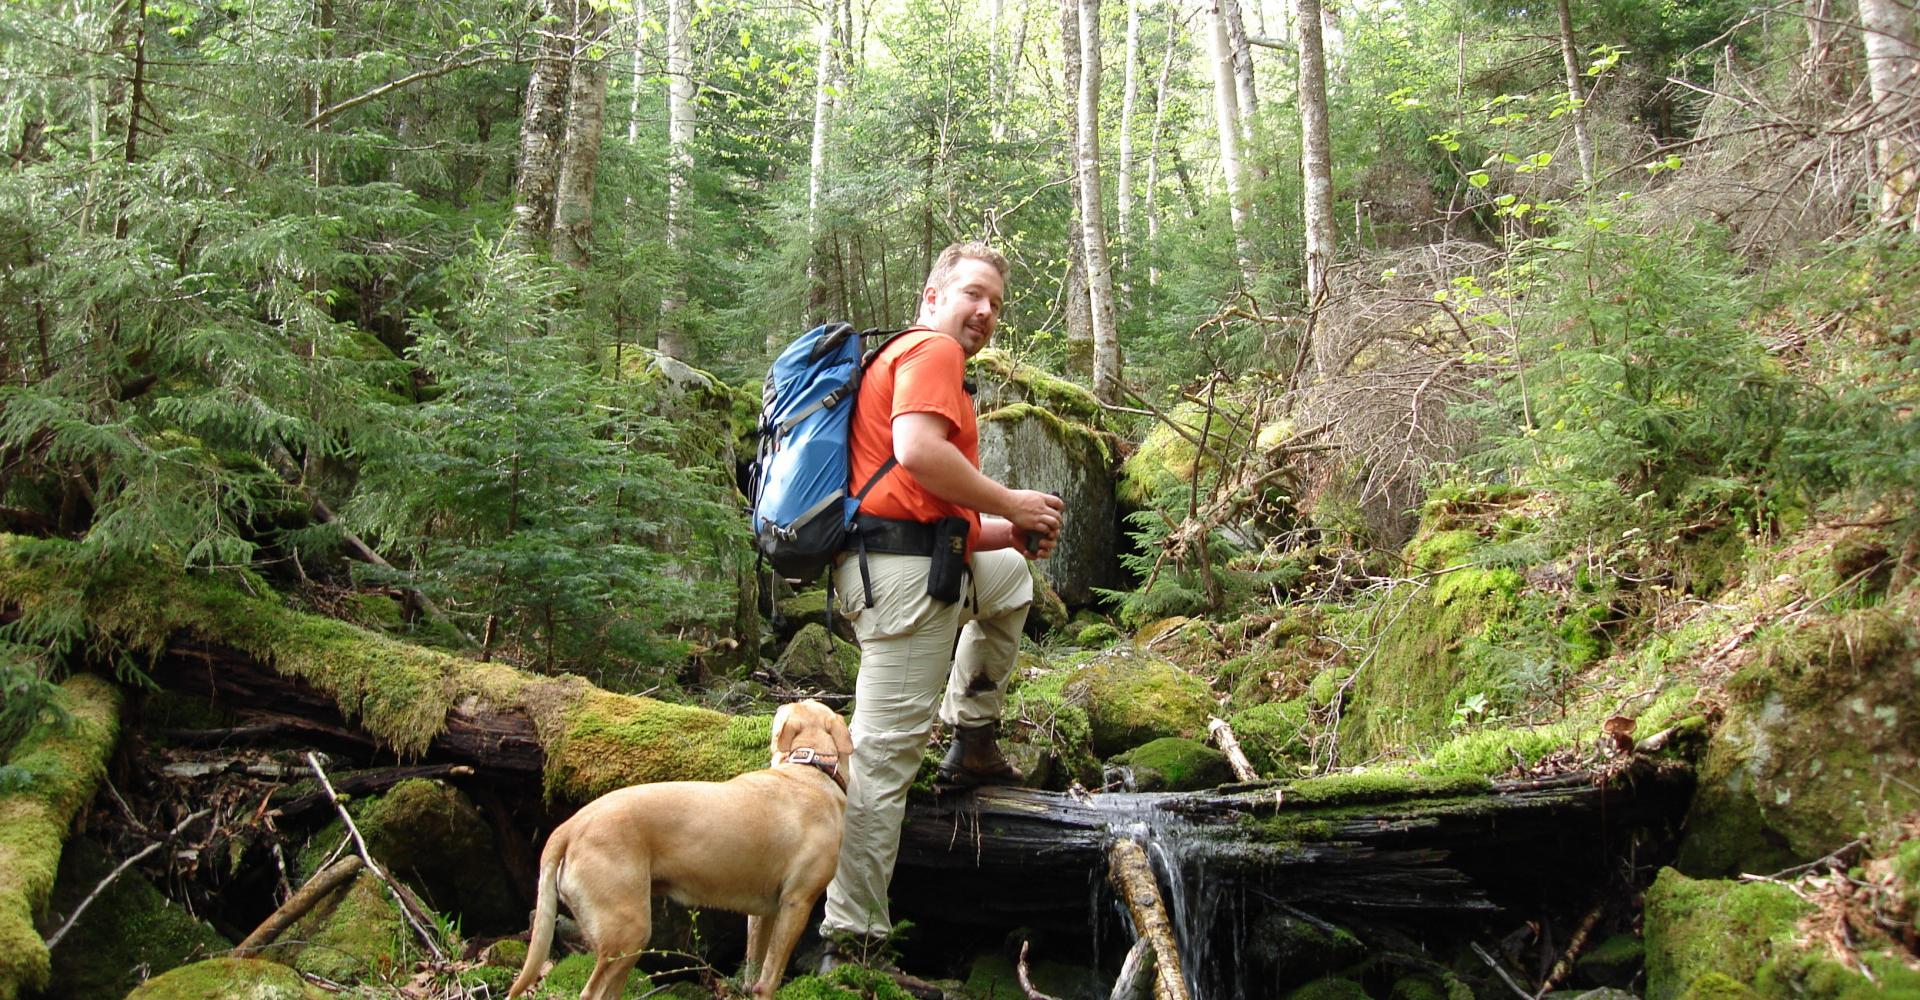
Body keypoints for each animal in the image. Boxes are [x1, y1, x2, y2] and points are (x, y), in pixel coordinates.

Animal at [506, 698, 852, 990]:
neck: (809, 769)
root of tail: (571, 826)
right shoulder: (797, 904)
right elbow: (769, 979)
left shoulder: (763, 914)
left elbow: (753, 972)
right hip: (629, 932)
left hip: (623, 946)